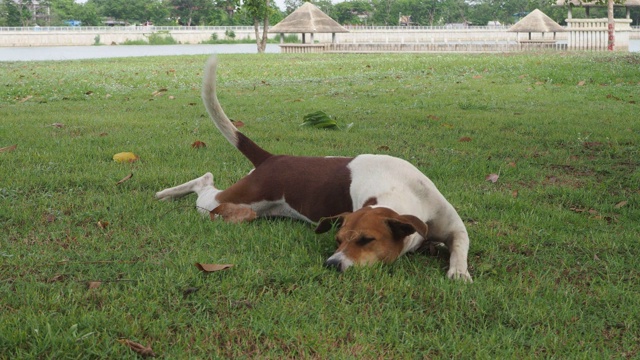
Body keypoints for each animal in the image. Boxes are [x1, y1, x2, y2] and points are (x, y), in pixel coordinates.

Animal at [157, 55, 472, 282]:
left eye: (367, 240)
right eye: (337, 239)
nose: (331, 263)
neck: (401, 190)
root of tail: (273, 158)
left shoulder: (452, 225)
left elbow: (460, 244)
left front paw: (458, 270)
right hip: (236, 201)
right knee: (205, 183)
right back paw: (166, 194)